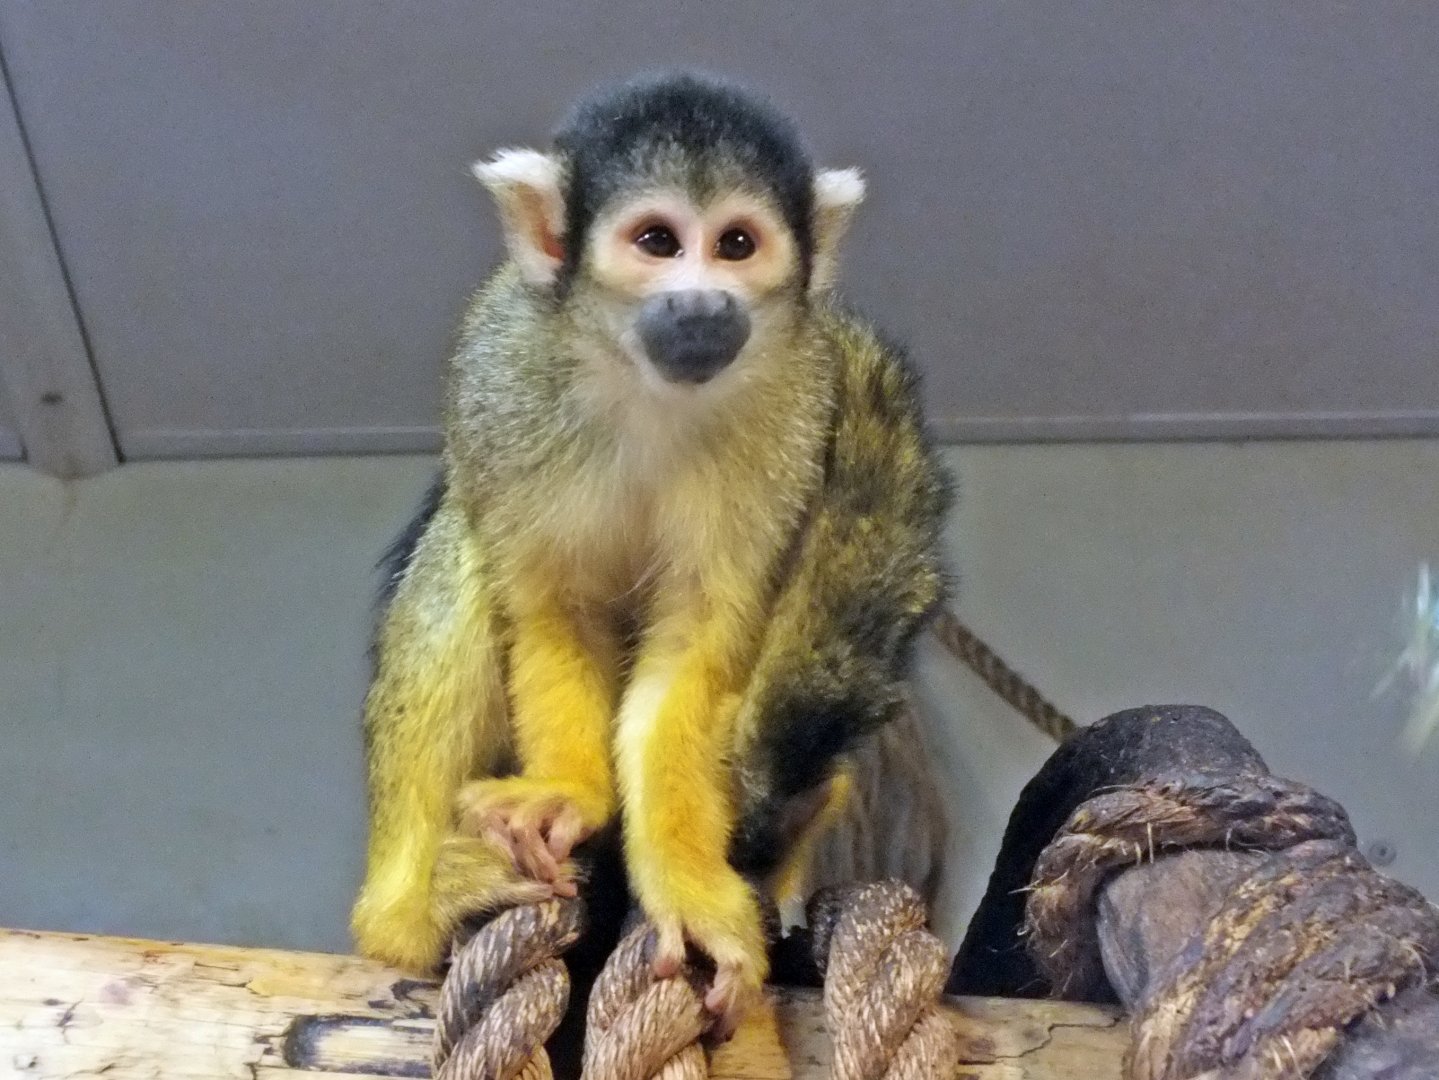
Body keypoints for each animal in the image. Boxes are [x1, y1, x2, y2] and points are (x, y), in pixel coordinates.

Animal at [351, 70, 951, 1035]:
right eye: (657, 242)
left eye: (736, 244)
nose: (703, 303)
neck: (648, 386)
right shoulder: (499, 375)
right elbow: (553, 607)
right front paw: (567, 794)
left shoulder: (794, 405)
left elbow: (695, 648)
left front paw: (689, 889)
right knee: (463, 549)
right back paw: (406, 913)